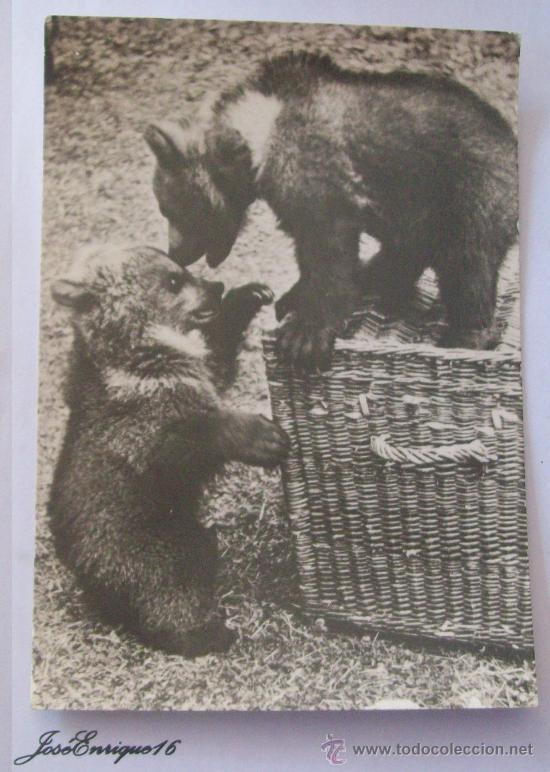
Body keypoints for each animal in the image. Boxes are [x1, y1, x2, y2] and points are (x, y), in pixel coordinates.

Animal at [48, 244, 289, 656]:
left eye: (182, 268)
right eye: (173, 281)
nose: (216, 285)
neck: (144, 353)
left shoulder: (200, 369)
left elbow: (218, 356)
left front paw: (247, 296)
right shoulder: (141, 426)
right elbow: (187, 444)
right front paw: (261, 437)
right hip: (143, 548)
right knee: (169, 590)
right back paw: (204, 633)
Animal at [145, 51, 518, 371]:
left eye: (169, 210)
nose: (176, 251)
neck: (252, 145)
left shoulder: (314, 171)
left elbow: (328, 250)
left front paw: (306, 335)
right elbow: (307, 250)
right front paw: (292, 298)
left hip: (469, 191)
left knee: (468, 263)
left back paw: (463, 336)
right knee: (409, 250)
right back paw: (375, 276)